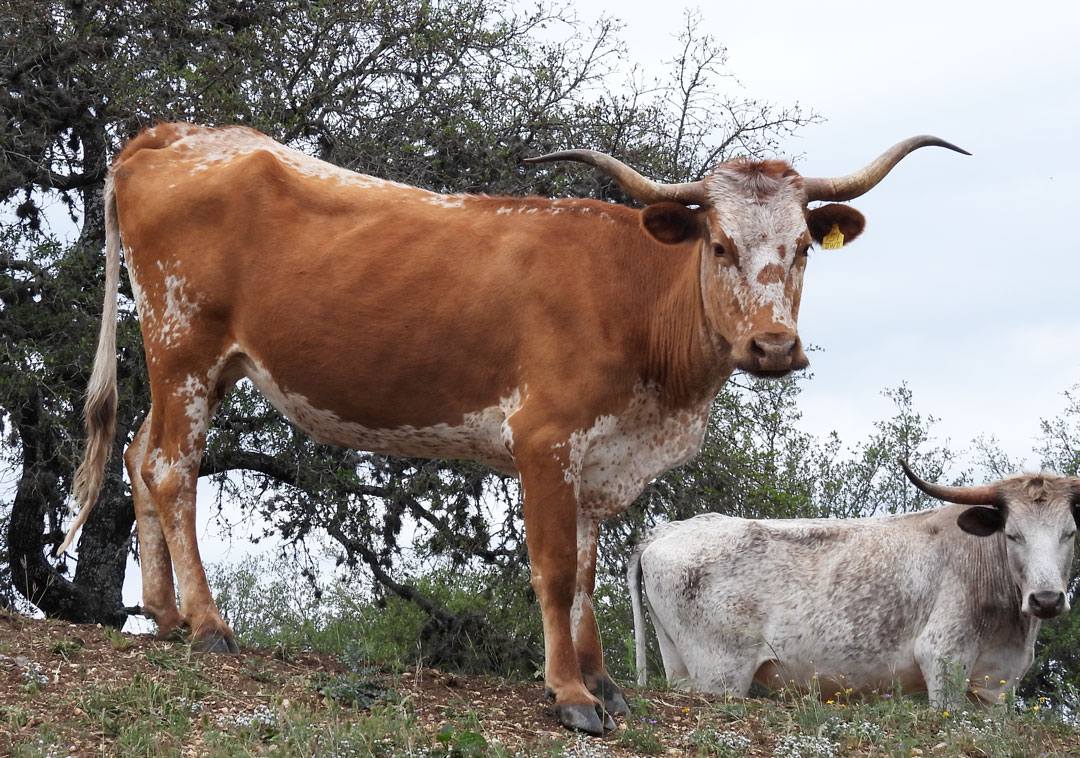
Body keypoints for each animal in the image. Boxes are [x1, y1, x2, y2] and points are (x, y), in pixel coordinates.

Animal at [63, 124, 967, 734]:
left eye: (804, 247)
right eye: (717, 243)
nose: (774, 346)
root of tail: (175, 134)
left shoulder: (600, 456)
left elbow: (592, 570)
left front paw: (603, 681)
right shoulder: (544, 439)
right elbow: (556, 569)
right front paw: (568, 695)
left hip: (202, 365)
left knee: (141, 456)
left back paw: (165, 615)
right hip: (184, 344)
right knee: (173, 468)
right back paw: (208, 626)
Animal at [630, 462, 1075, 708]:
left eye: (1069, 532)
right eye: (1013, 534)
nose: (1047, 599)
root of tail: (667, 530)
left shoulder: (998, 685)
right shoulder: (943, 660)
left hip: (681, 666)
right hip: (720, 671)